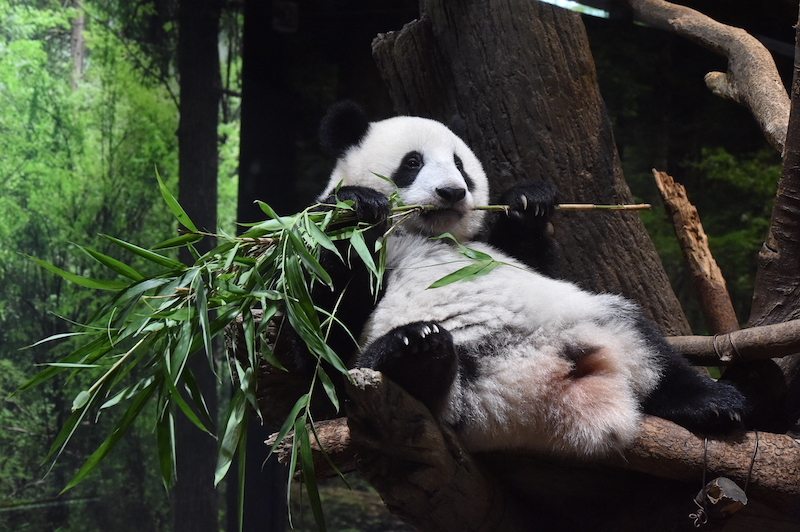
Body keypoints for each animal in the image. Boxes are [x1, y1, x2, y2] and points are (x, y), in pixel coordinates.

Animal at [296, 101, 752, 458]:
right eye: (412, 162)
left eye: (460, 164)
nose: (452, 192)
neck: (424, 234)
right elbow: (321, 348)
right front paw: (355, 208)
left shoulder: (488, 250)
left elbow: (530, 254)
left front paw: (529, 201)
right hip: (455, 399)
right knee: (391, 376)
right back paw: (415, 350)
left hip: (594, 318)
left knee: (654, 354)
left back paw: (715, 403)